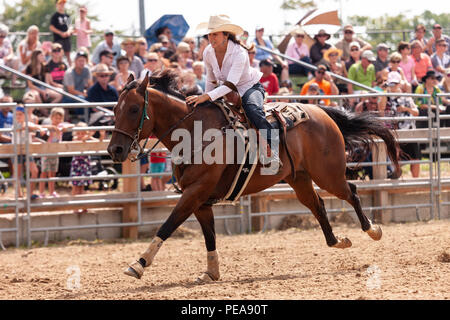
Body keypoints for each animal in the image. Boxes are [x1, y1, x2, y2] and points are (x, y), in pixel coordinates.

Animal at [106, 70, 400, 282]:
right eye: (115, 109)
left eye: (134, 109)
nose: (114, 150)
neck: (195, 132)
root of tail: (321, 112)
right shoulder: (200, 200)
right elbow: (209, 236)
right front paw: (211, 272)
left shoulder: (194, 193)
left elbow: (167, 226)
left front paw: (138, 264)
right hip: (300, 179)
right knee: (318, 205)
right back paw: (337, 241)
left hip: (328, 175)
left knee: (351, 191)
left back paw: (373, 230)